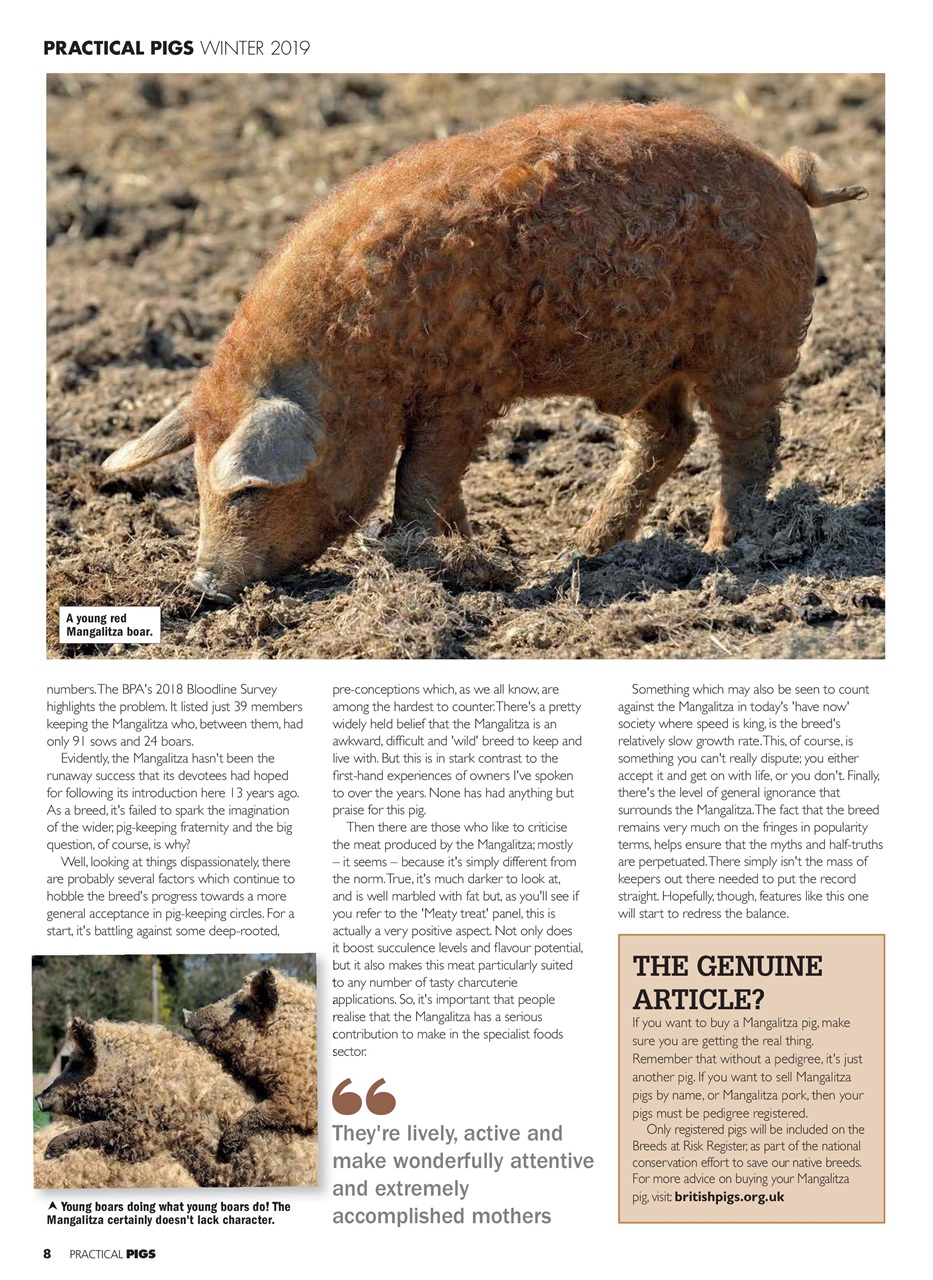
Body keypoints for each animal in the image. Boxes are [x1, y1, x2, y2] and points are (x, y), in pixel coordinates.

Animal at [101, 102, 867, 601]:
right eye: (196, 479)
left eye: (249, 490)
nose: (205, 586)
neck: (356, 357)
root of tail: (787, 176)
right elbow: (436, 484)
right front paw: (467, 555)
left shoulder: (465, 387)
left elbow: (422, 475)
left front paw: (411, 555)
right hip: (654, 363)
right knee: (668, 434)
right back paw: (586, 550)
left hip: (751, 340)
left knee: (750, 438)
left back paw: (723, 550)